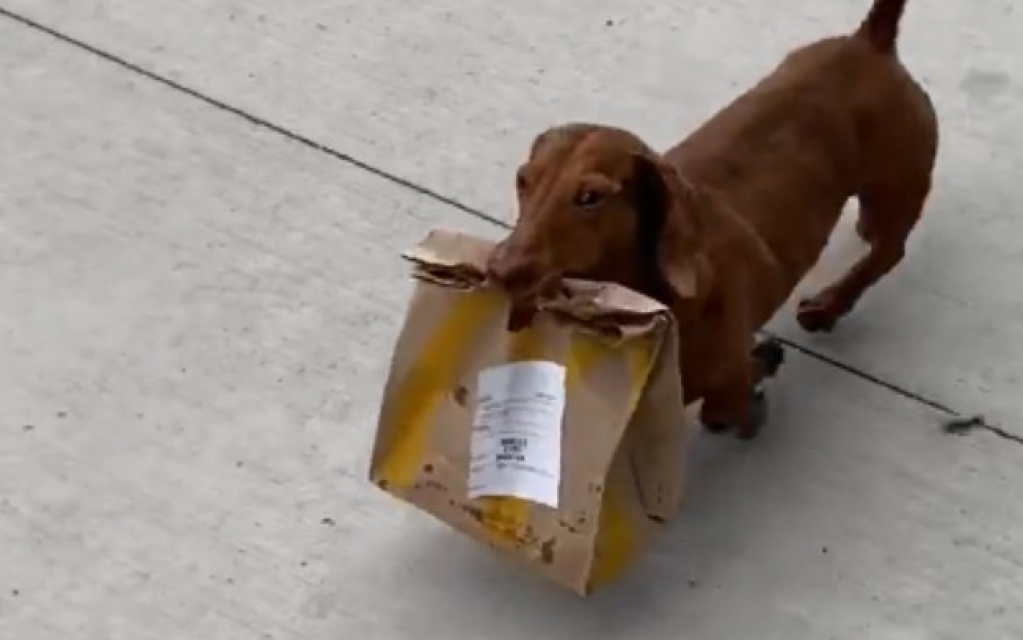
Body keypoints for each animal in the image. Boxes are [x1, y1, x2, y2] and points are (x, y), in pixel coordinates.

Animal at [482, 0, 937, 437]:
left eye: (590, 197)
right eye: (523, 180)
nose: (500, 270)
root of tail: (870, 40)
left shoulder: (726, 378)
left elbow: (727, 403)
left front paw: (756, 382)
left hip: (895, 189)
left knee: (888, 251)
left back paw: (829, 305)